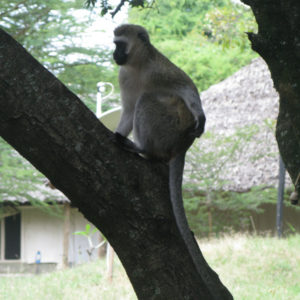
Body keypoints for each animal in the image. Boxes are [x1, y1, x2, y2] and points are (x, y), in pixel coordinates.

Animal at [112, 24, 206, 278]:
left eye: (119, 44)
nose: (113, 54)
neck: (138, 66)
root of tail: (183, 145)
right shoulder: (124, 76)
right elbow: (127, 111)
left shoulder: (159, 69)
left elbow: (186, 85)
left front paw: (201, 116)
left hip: (170, 128)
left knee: (147, 98)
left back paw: (142, 148)